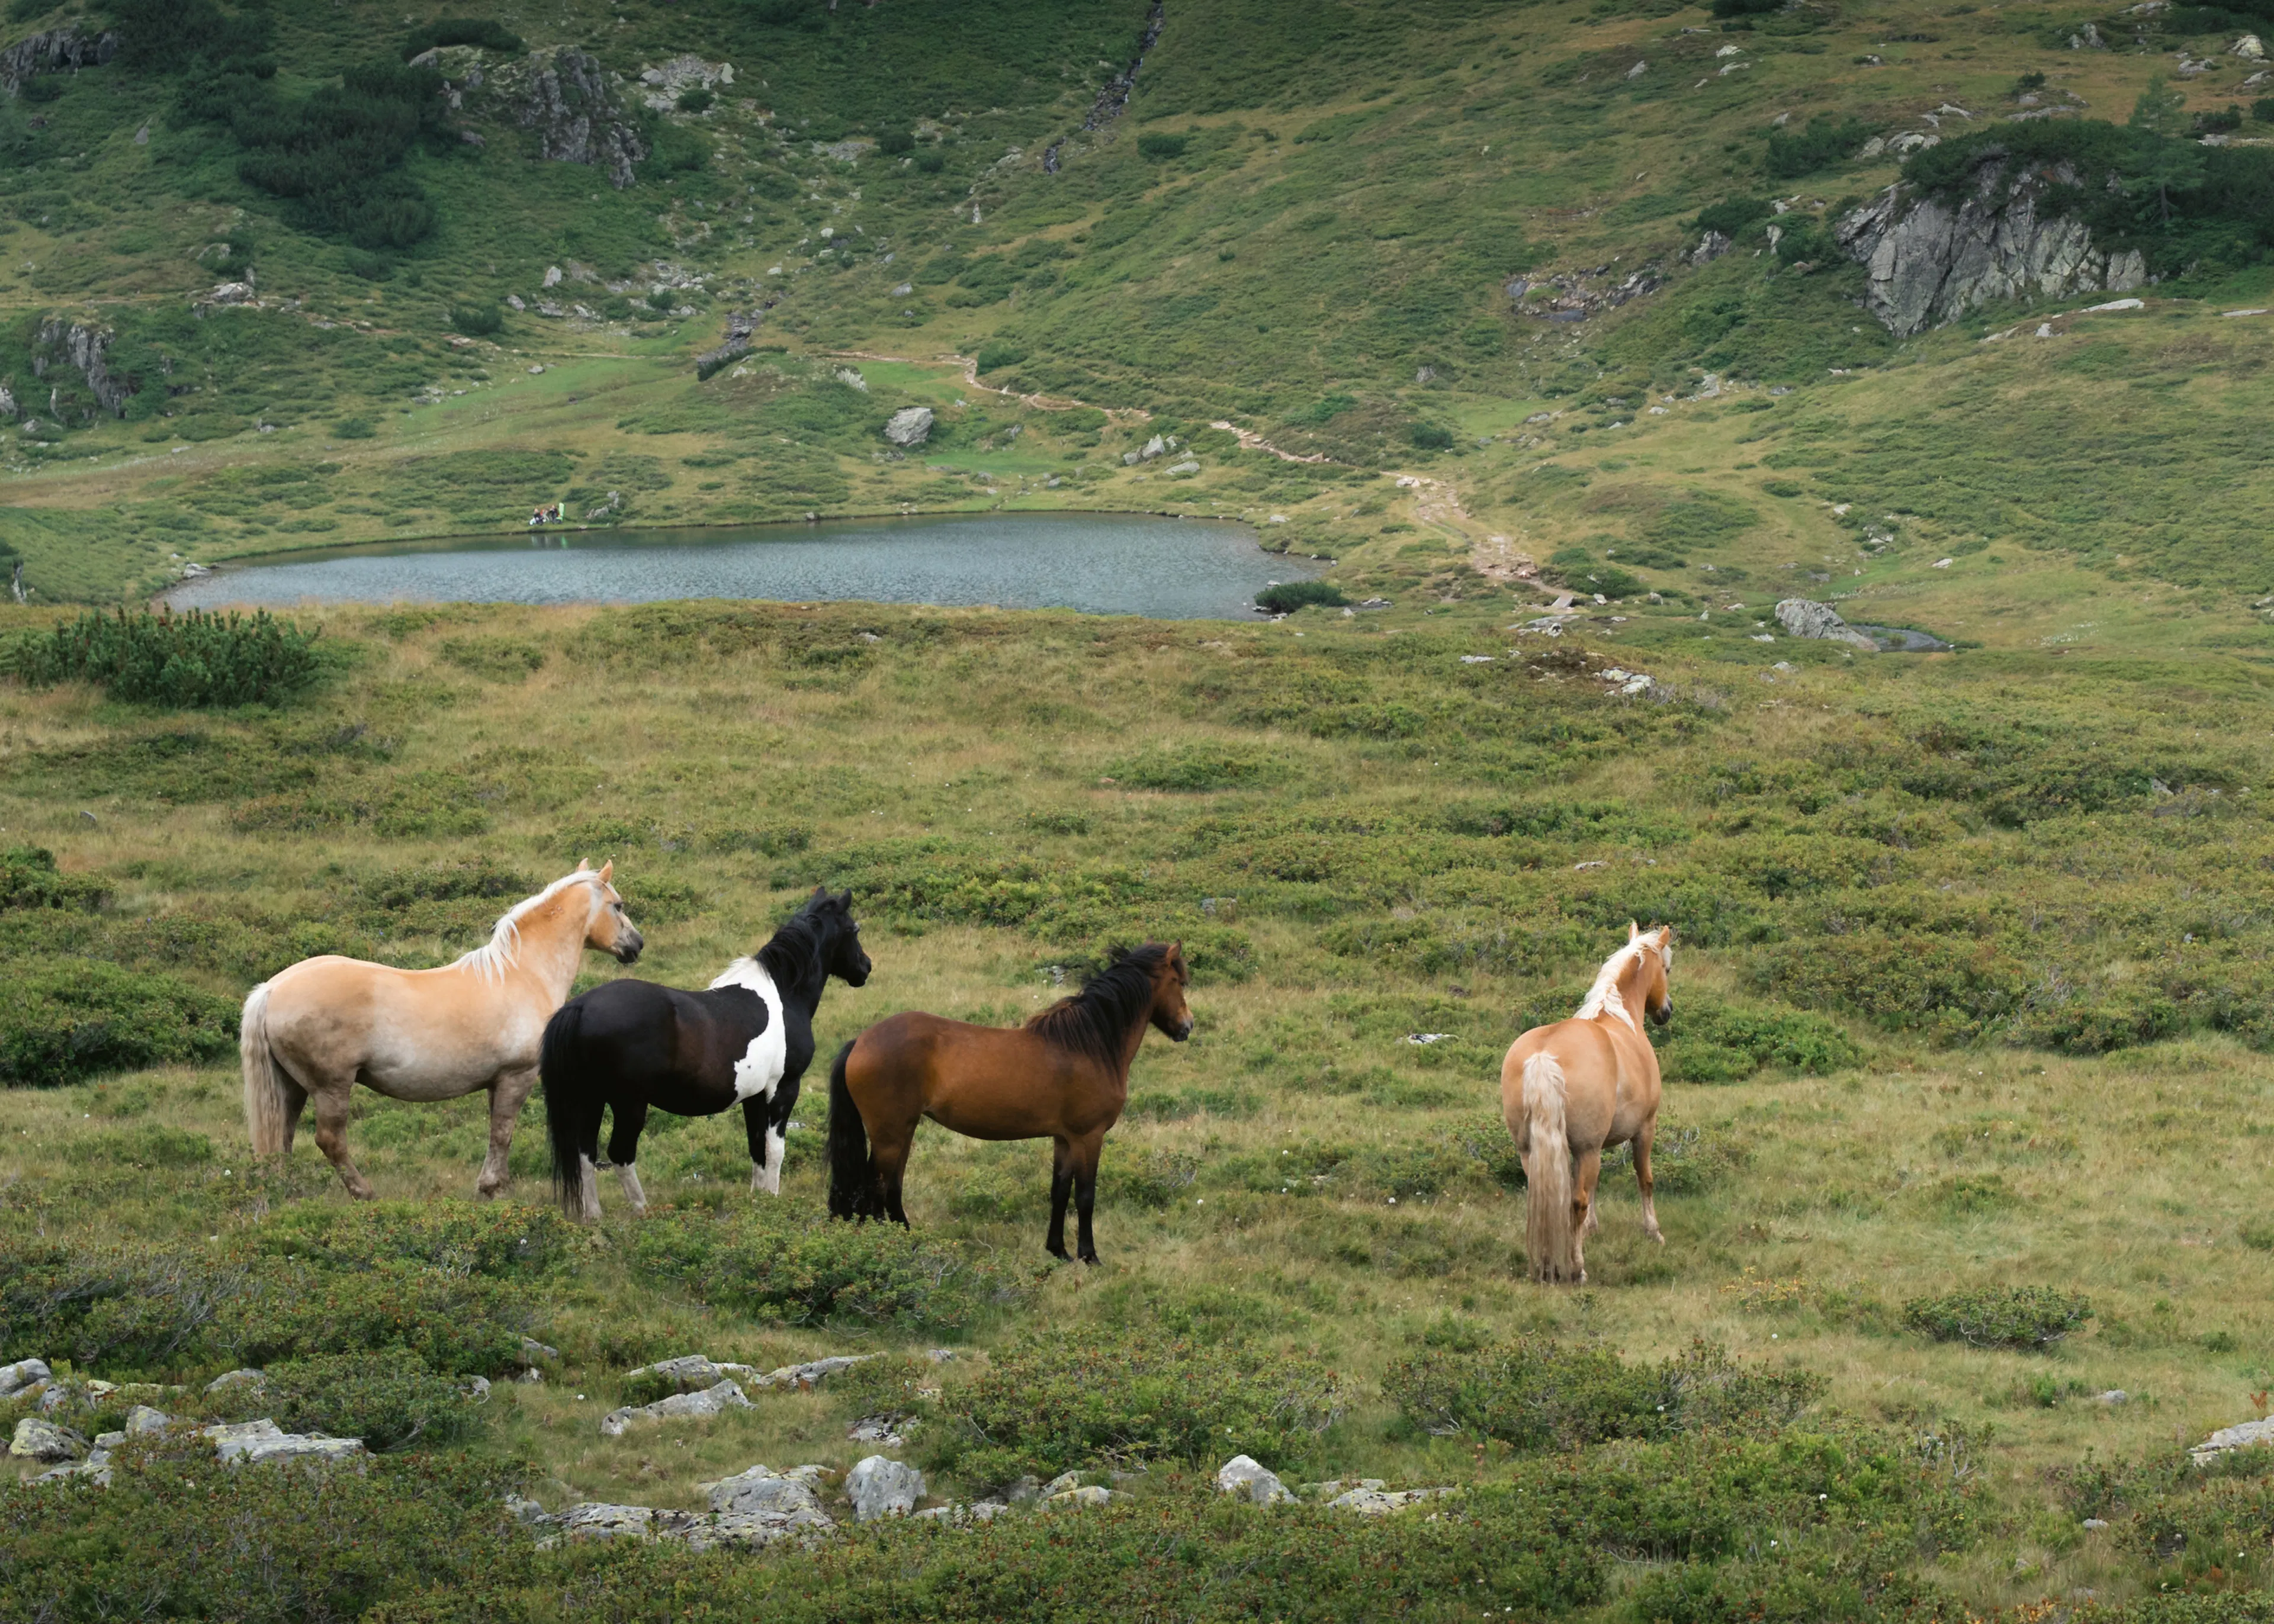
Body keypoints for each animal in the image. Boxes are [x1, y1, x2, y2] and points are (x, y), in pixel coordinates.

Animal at [240, 861, 645, 1200]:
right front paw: (491, 1188)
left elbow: (498, 1134)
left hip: (292, 1087)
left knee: (283, 1137)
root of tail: (273, 989)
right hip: (331, 1088)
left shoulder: (497, 1082)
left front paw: (498, 1187)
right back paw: (363, 1193)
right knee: (330, 1141)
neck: (523, 974)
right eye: (618, 905)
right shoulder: (517, 1077)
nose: (637, 945)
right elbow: (503, 1133)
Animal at [538, 887, 871, 1222]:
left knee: (585, 1154)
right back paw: (644, 1211)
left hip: (589, 1099)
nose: (865, 968)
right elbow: (775, 1151)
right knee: (620, 1154)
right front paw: (773, 1202)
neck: (784, 994)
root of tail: (580, 1007)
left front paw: (759, 1201)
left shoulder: (754, 1096)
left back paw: (594, 1217)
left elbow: (757, 1148)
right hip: (628, 1103)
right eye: (854, 929)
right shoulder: (784, 1089)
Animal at [827, 942, 1192, 1264]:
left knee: (892, 1188)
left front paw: (1058, 1251)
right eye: (1179, 981)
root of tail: (861, 1041)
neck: (1089, 1046)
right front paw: (1089, 1256)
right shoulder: (1088, 1137)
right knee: (875, 1189)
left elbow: (1060, 1192)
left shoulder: (1064, 1139)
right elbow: (1086, 1197)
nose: (1188, 1027)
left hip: (904, 1130)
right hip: (889, 1136)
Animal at [1500, 923, 1676, 1285]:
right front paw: (1653, 1231)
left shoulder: (1593, 1143)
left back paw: (1547, 1265)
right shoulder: (1644, 1128)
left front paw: (1592, 1229)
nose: (1666, 1011)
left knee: (1547, 1199)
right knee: (1576, 1202)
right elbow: (1645, 1179)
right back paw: (1577, 1268)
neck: (1619, 1016)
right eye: (1666, 969)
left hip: (1532, 1151)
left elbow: (1594, 1188)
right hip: (1588, 1148)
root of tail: (1543, 1056)